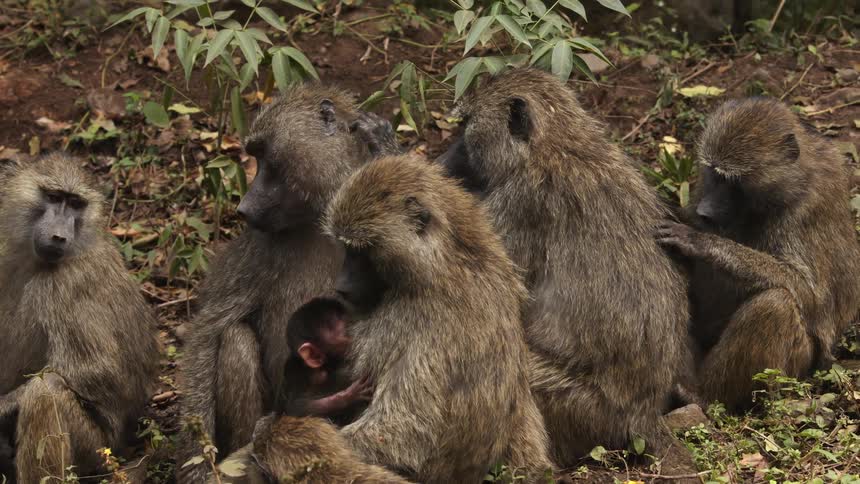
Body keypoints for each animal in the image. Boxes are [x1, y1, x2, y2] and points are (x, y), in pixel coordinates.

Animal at [0, 152, 159, 483]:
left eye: (76, 203)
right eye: (53, 197)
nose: (59, 236)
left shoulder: (66, 285)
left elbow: (99, 369)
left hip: (98, 452)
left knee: (46, 390)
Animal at [176, 84, 396, 481]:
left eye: (266, 157)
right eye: (255, 156)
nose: (244, 208)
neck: (323, 215)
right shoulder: (258, 246)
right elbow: (208, 330)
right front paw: (197, 463)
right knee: (235, 338)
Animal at [316, 154, 555, 483]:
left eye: (362, 251)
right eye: (347, 249)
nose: (341, 285)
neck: (448, 258)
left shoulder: (416, 318)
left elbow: (406, 433)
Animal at [433, 68, 692, 467]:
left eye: (465, 126)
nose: (442, 158)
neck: (555, 143)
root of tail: (642, 417)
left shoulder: (518, 201)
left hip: (579, 403)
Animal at [657, 98, 860, 411]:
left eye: (731, 180)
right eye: (713, 173)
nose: (704, 211)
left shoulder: (804, 212)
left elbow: (809, 294)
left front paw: (701, 241)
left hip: (794, 368)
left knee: (776, 304)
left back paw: (701, 396)